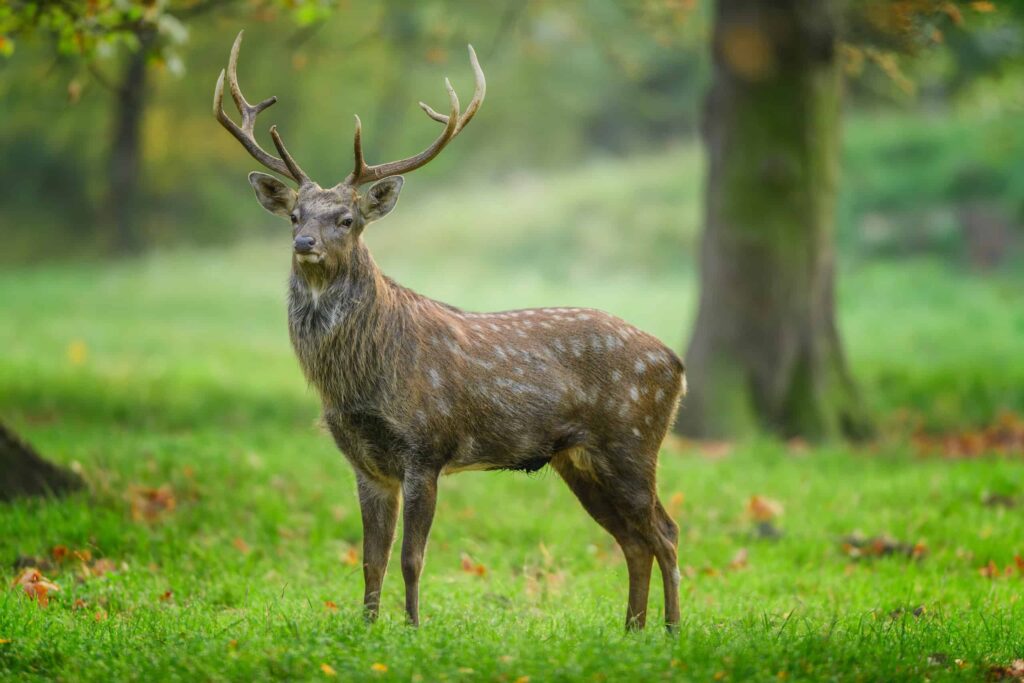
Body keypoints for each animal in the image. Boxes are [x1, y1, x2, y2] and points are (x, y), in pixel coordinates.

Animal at [211, 30, 684, 630]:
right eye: (295, 215)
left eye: (347, 219)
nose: (304, 244)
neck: (361, 377)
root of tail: (675, 363)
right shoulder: (365, 461)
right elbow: (371, 557)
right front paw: (367, 628)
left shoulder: (426, 447)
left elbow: (412, 557)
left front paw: (414, 628)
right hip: (579, 459)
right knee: (633, 540)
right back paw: (632, 630)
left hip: (633, 438)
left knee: (665, 532)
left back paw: (671, 629)